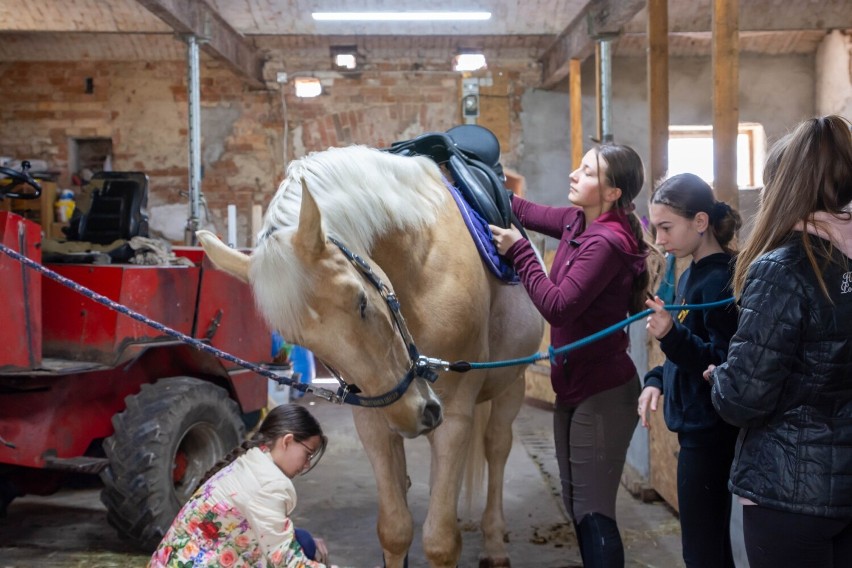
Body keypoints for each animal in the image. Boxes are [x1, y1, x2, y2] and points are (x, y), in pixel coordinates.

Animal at [197, 145, 544, 568]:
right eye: (301, 340)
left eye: (361, 301)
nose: (417, 414)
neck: (421, 266)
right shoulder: (375, 421)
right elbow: (395, 530)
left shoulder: (455, 416)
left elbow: (441, 541)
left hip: (512, 384)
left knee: (496, 447)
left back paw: (495, 543)